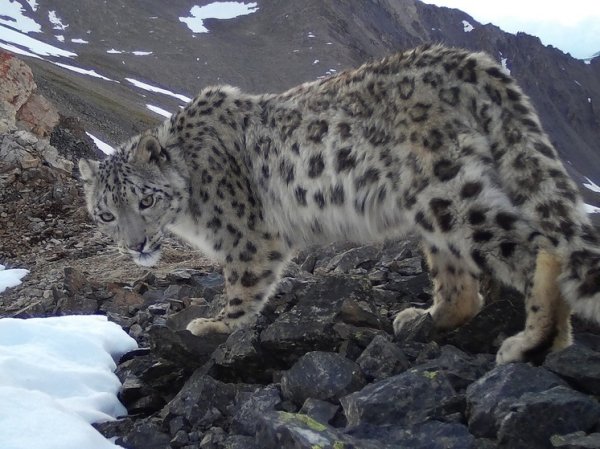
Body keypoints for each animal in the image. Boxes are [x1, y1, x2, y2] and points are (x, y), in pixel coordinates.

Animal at [79, 43, 600, 362]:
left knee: (538, 246)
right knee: (463, 286)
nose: (136, 244)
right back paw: (422, 319)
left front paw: (215, 326)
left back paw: (532, 342)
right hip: (434, 209)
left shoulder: (248, 236)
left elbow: (242, 285)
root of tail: (464, 59)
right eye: (106, 213)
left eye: (145, 199)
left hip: (449, 191)